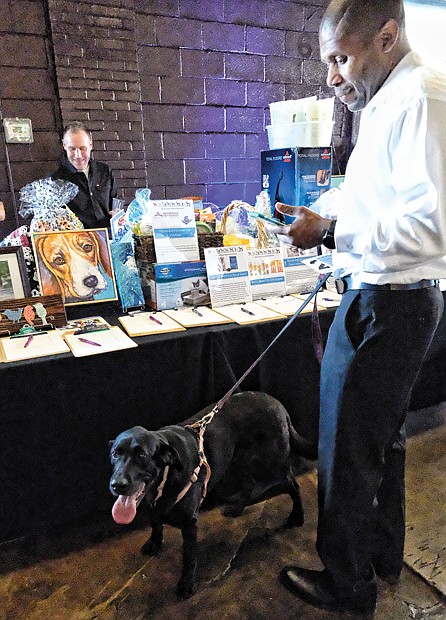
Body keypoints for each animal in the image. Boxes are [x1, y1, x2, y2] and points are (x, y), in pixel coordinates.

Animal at [109, 390, 316, 600]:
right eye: (115, 454)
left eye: (142, 456)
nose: (117, 485)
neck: (164, 478)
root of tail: (275, 402)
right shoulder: (155, 507)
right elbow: (156, 524)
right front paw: (154, 542)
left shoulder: (189, 523)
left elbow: (189, 557)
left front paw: (187, 584)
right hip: (237, 461)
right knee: (249, 484)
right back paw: (236, 508)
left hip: (273, 463)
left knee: (293, 485)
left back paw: (297, 517)